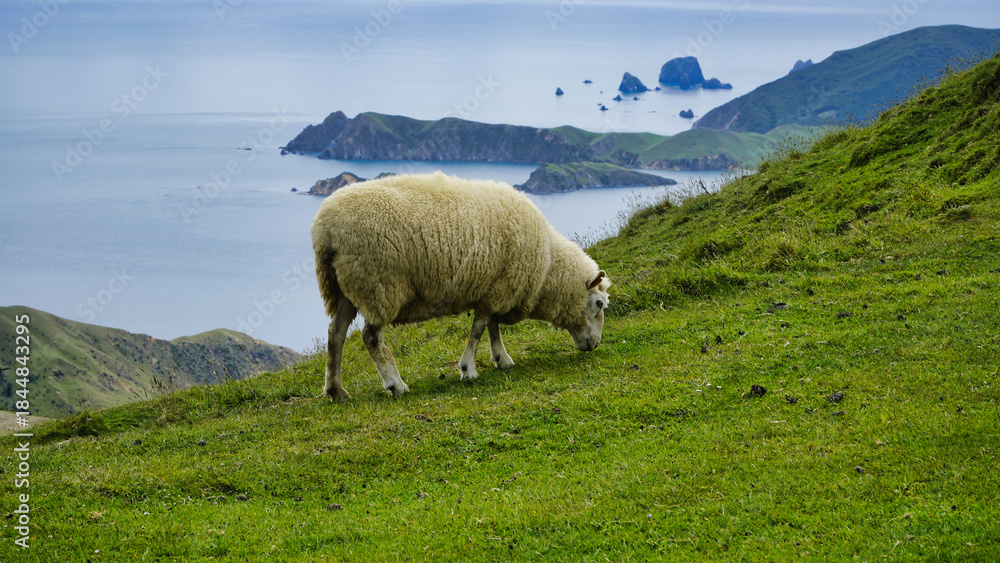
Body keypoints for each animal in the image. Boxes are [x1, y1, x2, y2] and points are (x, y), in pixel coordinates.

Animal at [311, 171, 610, 399]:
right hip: (379, 285)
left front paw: (501, 359)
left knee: (335, 334)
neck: (548, 266)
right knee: (371, 338)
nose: (595, 345)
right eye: (599, 304)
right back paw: (396, 385)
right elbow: (479, 329)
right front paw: (469, 368)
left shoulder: (495, 286)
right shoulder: (499, 288)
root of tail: (325, 229)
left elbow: (492, 326)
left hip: (343, 288)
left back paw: (336, 390)